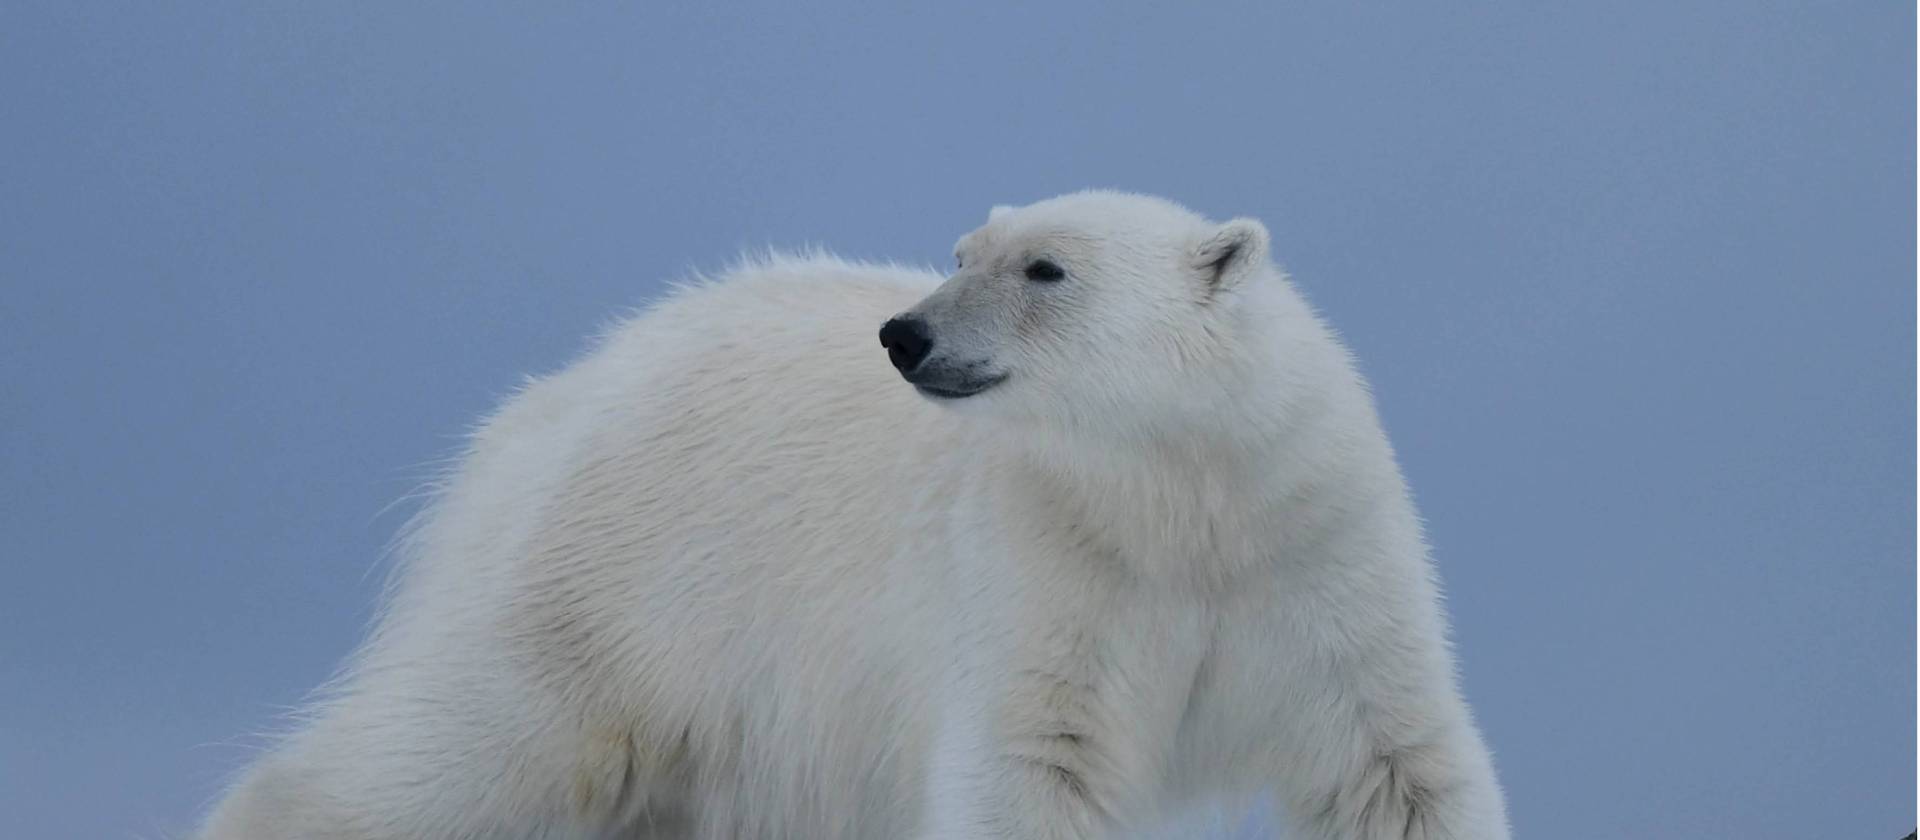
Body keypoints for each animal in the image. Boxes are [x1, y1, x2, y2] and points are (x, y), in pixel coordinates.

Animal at [198, 191, 1509, 840]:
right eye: (963, 247)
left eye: (1046, 268)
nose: (906, 333)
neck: (1177, 503)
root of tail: (545, 402)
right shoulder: (1043, 563)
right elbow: (1033, 759)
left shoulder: (1313, 551)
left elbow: (1395, 766)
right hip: (630, 582)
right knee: (459, 745)